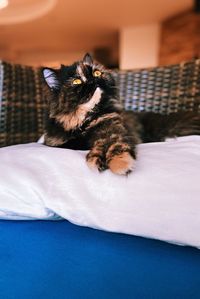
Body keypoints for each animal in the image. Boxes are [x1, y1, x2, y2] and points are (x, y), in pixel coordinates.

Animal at [42, 54, 200, 176]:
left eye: (97, 73)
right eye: (77, 81)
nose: (93, 80)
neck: (86, 119)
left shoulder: (112, 128)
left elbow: (114, 144)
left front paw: (120, 163)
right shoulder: (56, 143)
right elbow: (80, 143)